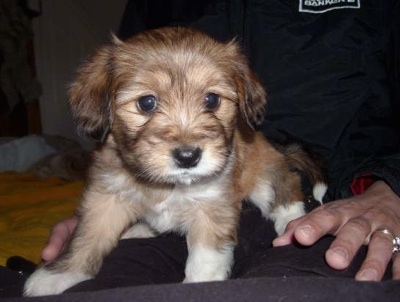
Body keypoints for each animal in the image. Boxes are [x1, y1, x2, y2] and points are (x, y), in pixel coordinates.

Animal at [23, 27, 326, 296]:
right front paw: (60, 274)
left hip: (261, 173)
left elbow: (204, 260)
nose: (188, 156)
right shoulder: (106, 199)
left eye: (212, 99)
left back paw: (291, 220)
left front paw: (199, 287)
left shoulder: (212, 205)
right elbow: (86, 238)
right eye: (146, 103)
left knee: (284, 183)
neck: (166, 185)